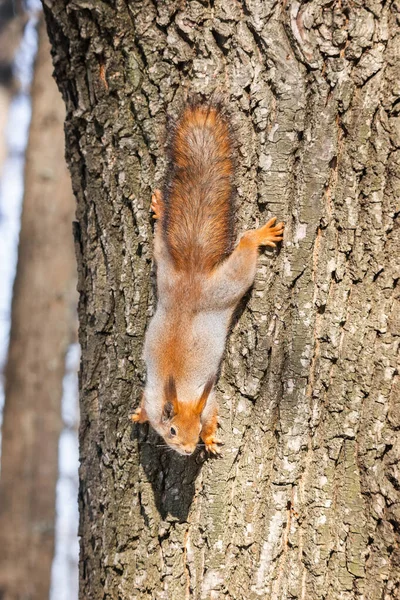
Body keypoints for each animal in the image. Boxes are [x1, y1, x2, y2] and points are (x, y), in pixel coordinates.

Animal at [131, 102, 284, 454]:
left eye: (197, 426)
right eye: (172, 430)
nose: (188, 450)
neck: (181, 393)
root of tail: (192, 275)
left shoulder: (207, 399)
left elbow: (213, 414)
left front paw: (211, 439)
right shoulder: (153, 396)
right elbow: (145, 406)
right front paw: (139, 415)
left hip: (223, 285)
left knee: (244, 248)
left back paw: (258, 236)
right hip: (171, 271)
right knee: (163, 242)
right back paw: (161, 210)